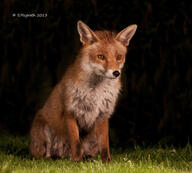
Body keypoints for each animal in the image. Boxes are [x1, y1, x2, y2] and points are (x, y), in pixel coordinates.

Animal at [29, 19, 136, 162]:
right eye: (101, 56)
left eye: (119, 57)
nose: (116, 73)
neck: (96, 91)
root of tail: (63, 155)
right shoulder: (71, 112)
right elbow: (76, 142)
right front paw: (77, 161)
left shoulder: (103, 115)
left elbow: (105, 145)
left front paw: (107, 162)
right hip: (44, 129)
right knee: (44, 156)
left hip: (93, 136)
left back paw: (87, 158)